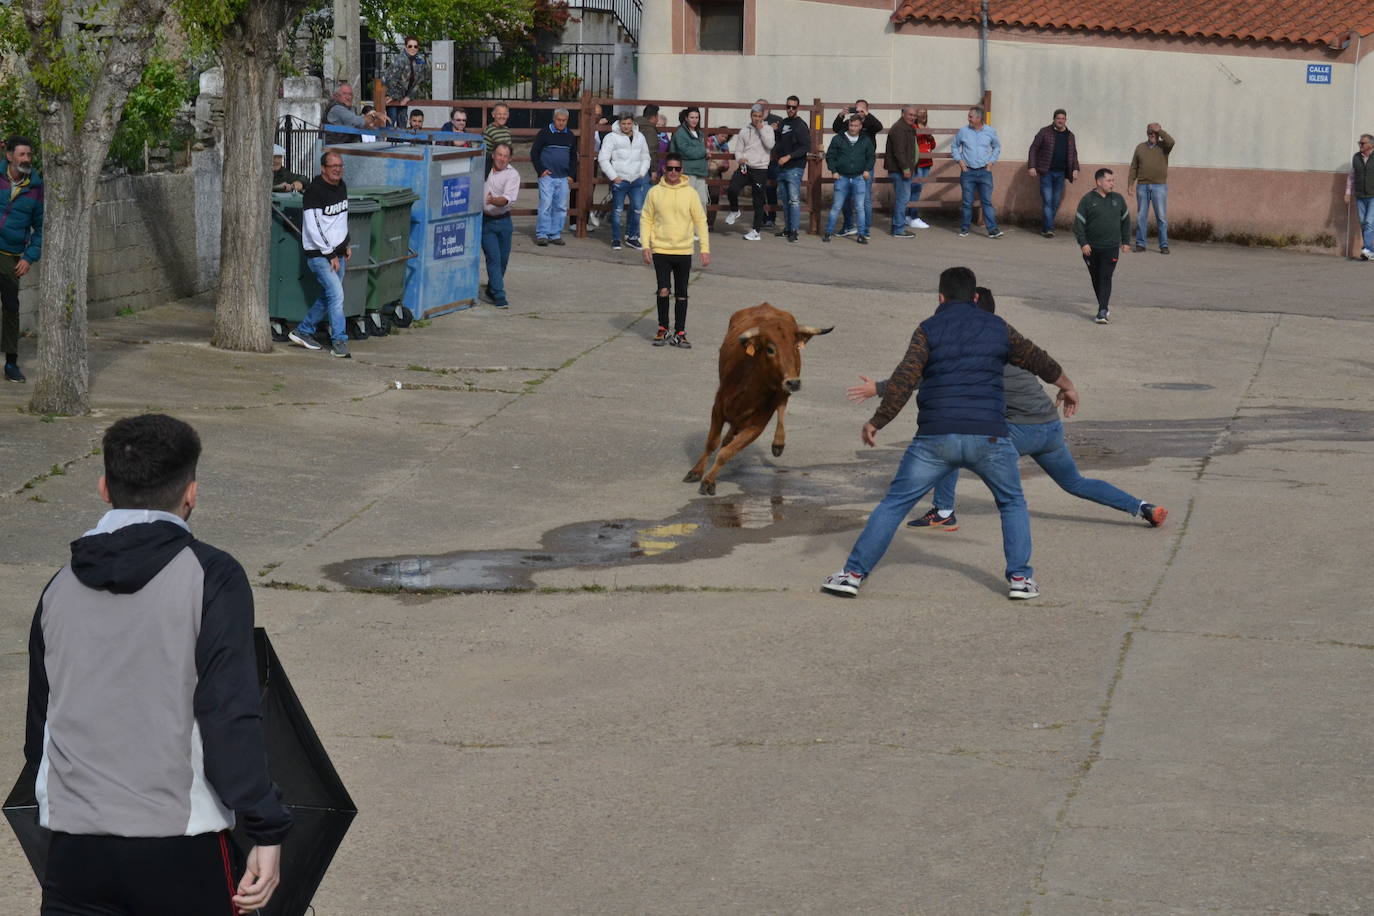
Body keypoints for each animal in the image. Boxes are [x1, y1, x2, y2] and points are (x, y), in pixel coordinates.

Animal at [681, 302, 829, 494]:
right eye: (770, 349)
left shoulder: (758, 425)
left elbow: (726, 453)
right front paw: (695, 472)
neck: (748, 391)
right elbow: (712, 443)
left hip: (784, 389)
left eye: (795, 348)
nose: (794, 382)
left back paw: (778, 443)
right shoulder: (717, 408)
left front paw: (709, 481)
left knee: (782, 404)